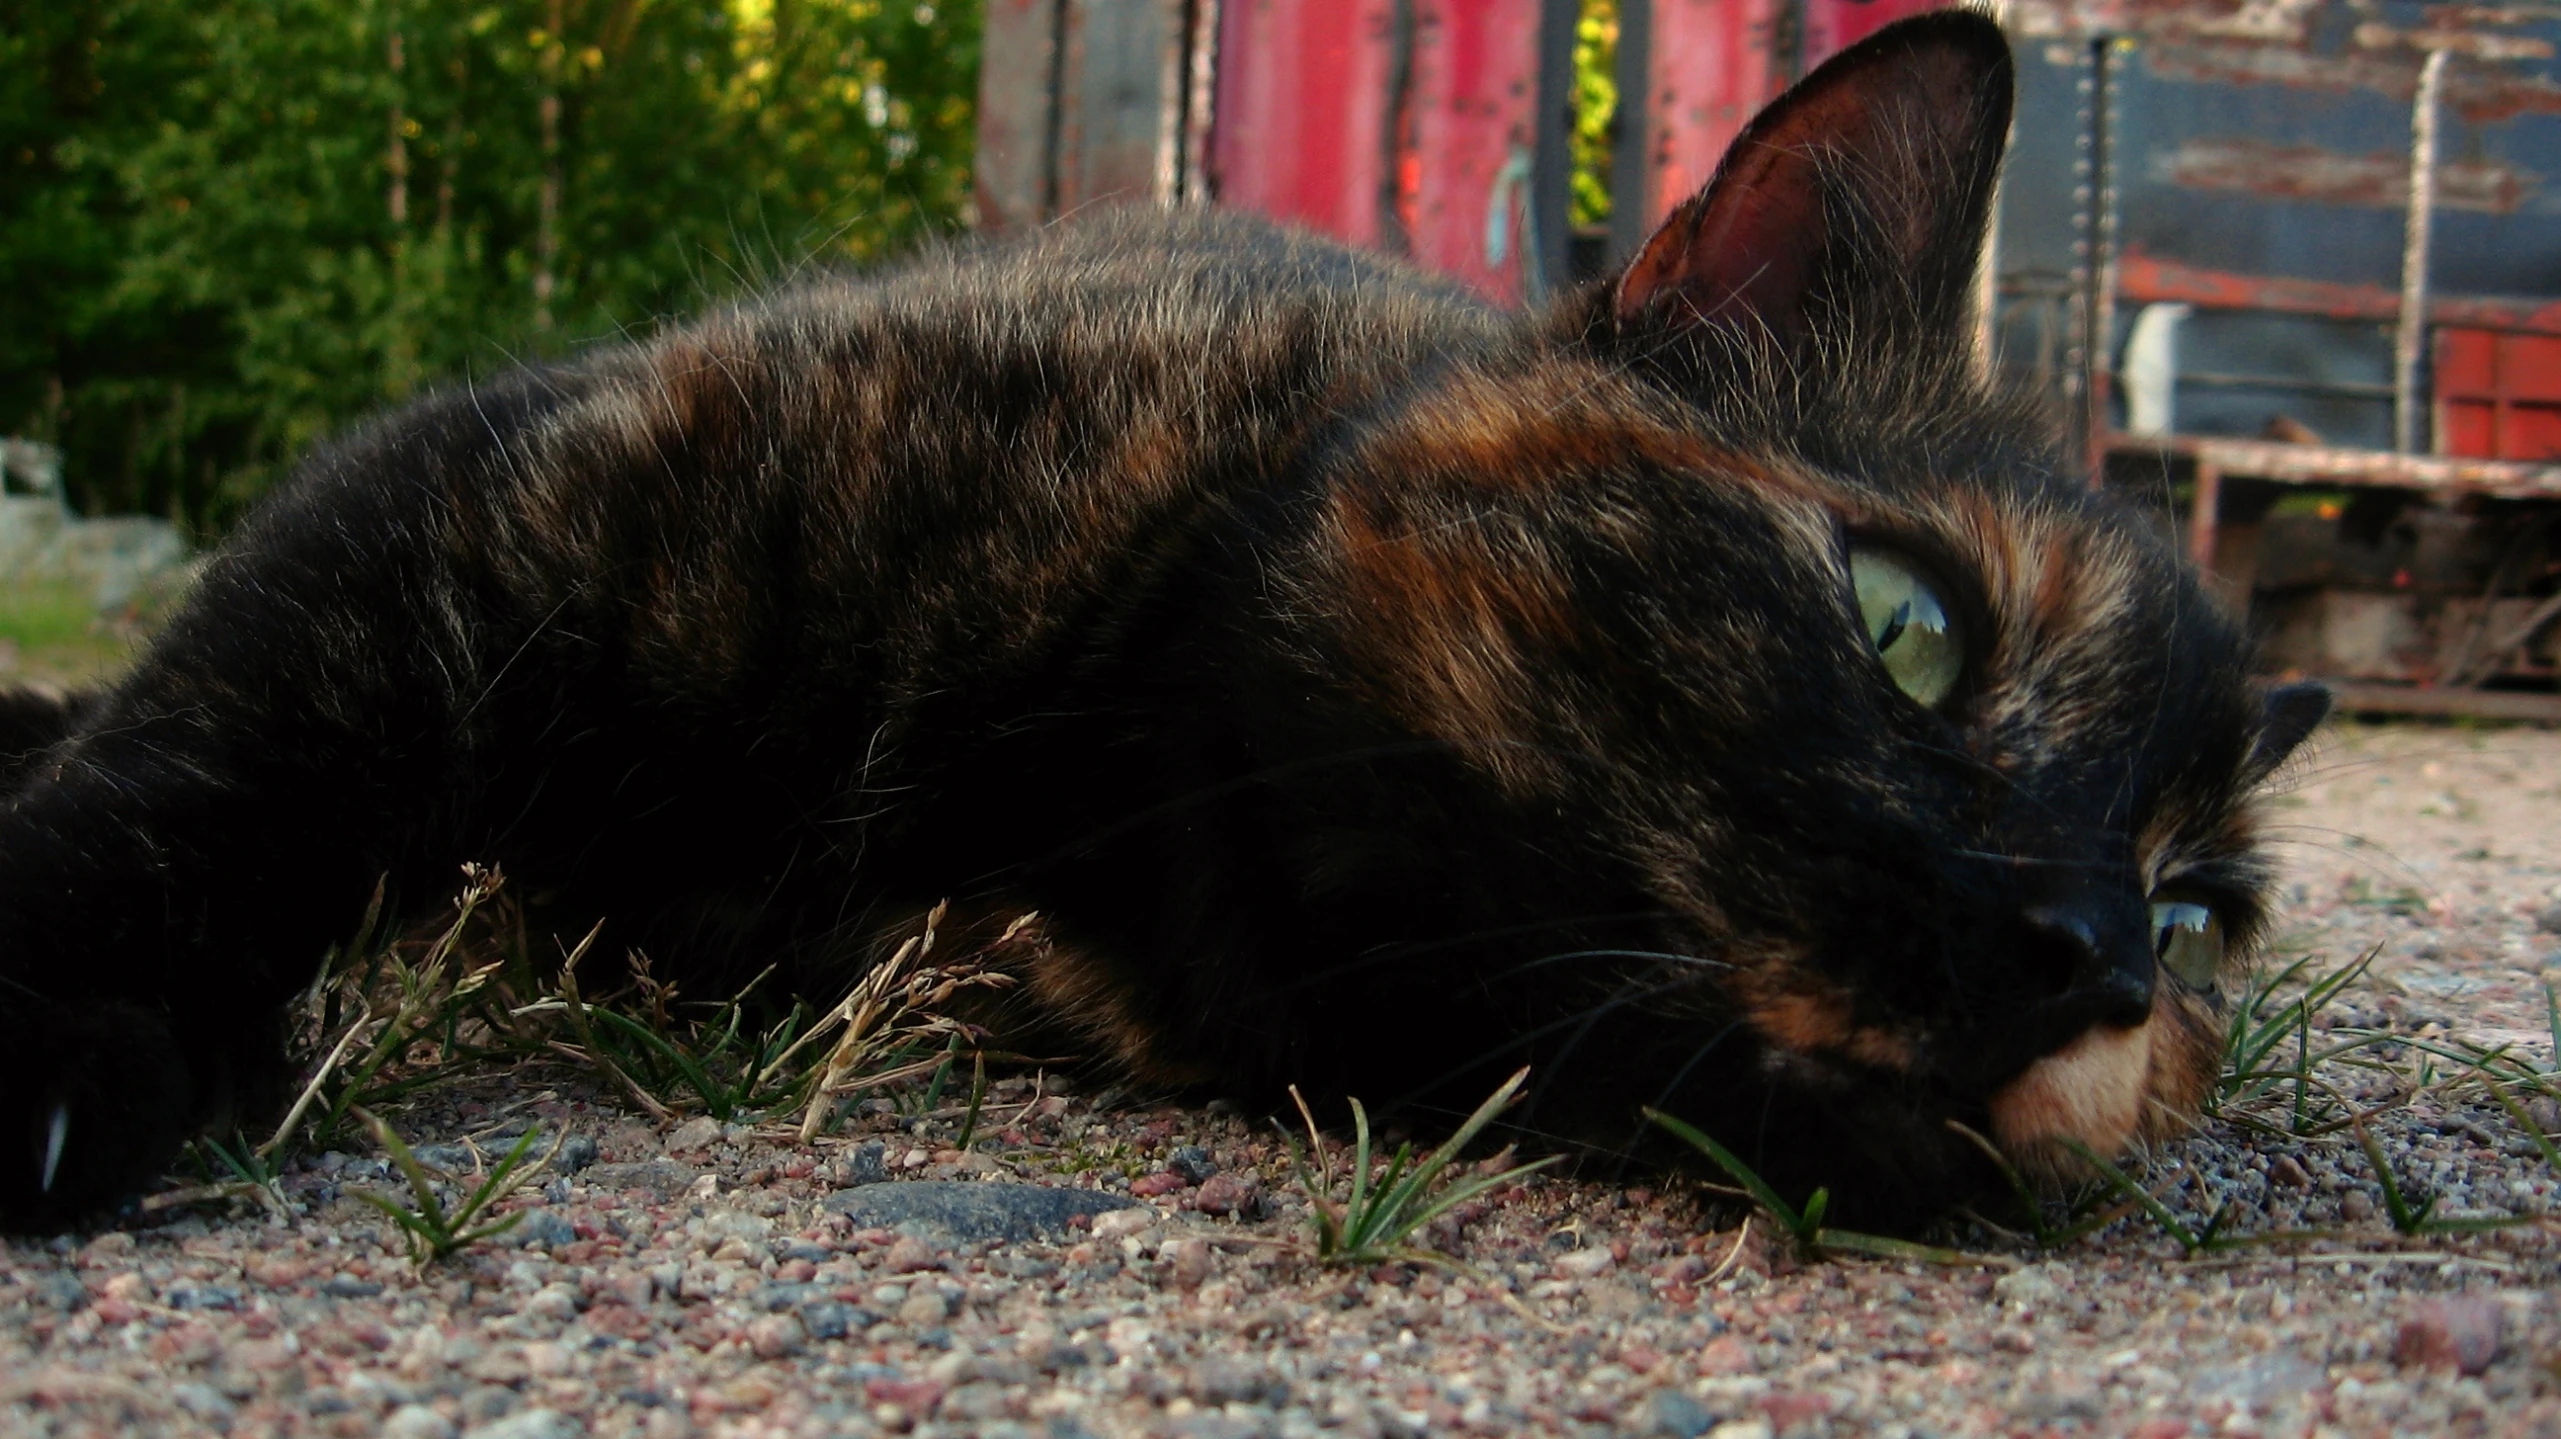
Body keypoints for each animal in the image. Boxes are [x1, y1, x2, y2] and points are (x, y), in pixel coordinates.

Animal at [0, 8, 2325, 1218]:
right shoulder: (488, 490)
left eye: (2198, 914)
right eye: (1907, 619)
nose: (2092, 950)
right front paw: (58, 1011)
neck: (1111, 809)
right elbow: (213, 761)